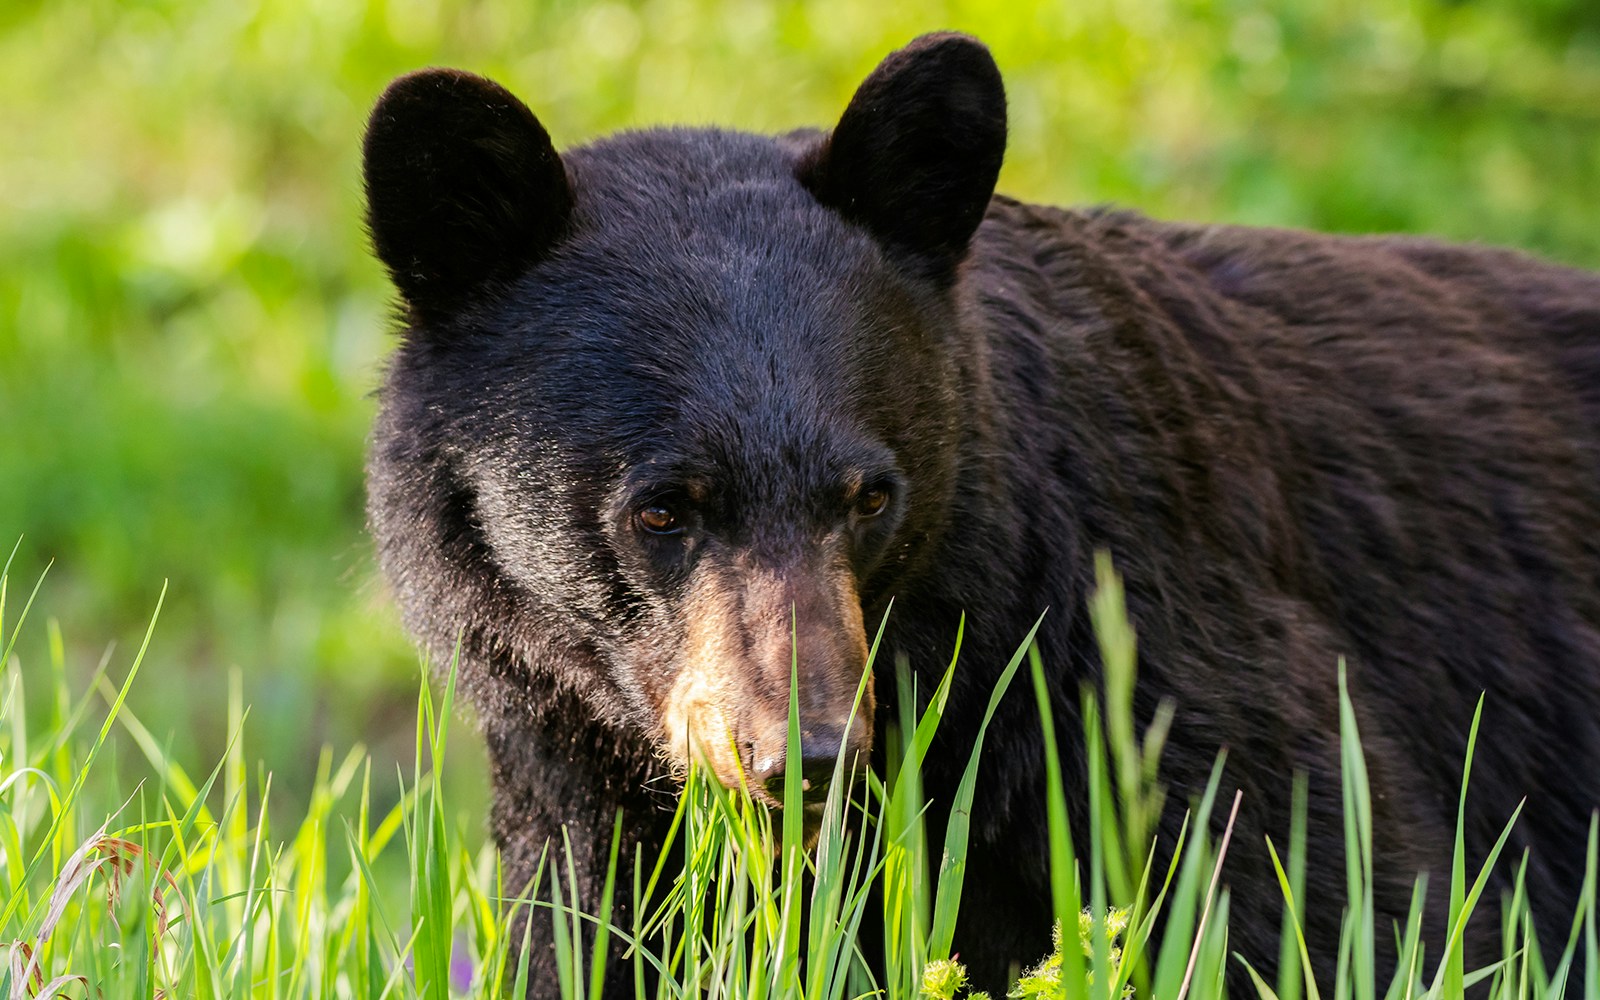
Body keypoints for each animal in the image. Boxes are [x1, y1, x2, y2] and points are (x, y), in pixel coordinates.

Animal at [361, 32, 1600, 997]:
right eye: (664, 507)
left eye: (869, 493)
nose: (805, 755)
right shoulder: (578, 769)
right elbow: (599, 939)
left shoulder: (1148, 656)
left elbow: (1341, 900)